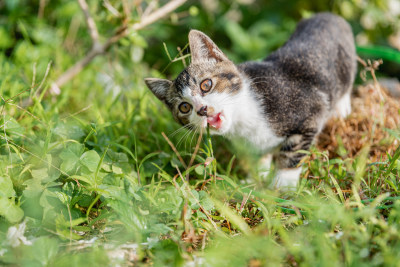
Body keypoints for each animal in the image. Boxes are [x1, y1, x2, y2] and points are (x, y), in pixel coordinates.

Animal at [144, 12, 356, 191]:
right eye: (184, 107)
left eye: (206, 85)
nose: (202, 109)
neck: (244, 117)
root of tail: (327, 15)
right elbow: (260, 156)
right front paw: (255, 177)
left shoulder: (311, 109)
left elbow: (291, 152)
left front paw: (283, 184)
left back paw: (342, 109)